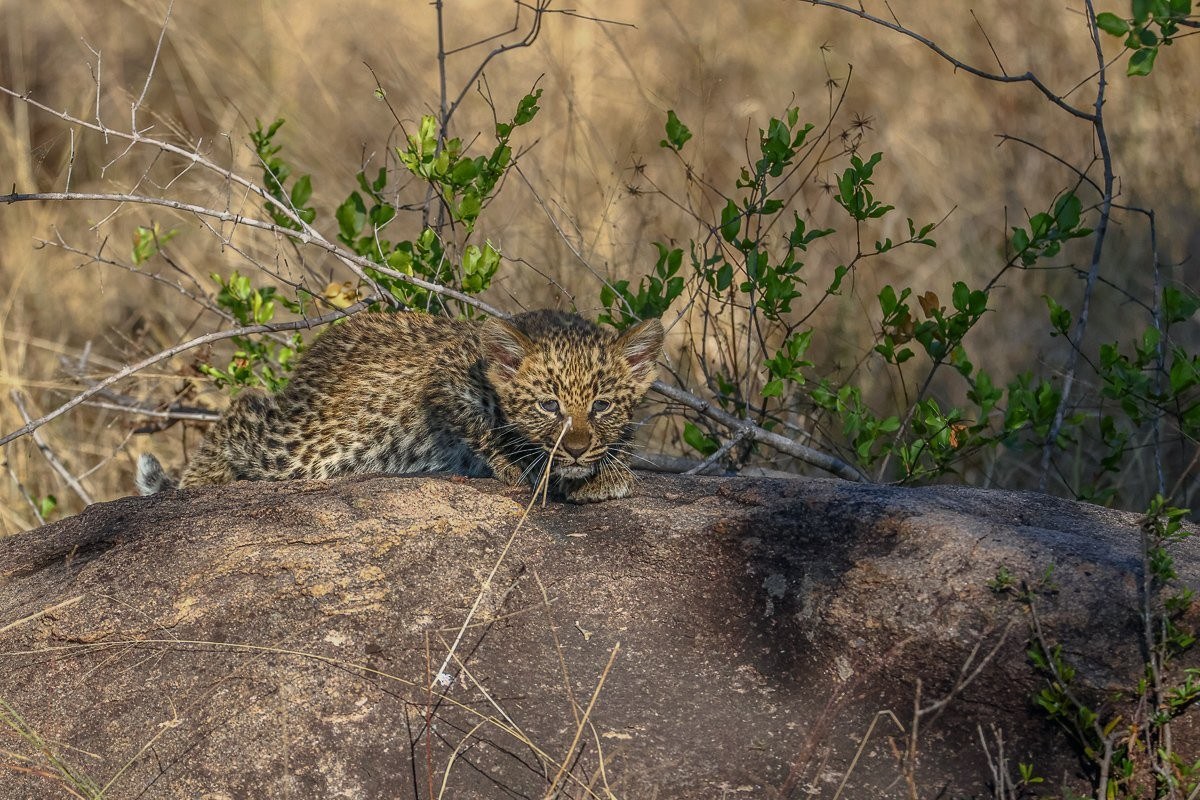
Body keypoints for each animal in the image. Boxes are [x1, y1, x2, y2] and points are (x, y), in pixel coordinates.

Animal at [135, 309, 664, 503]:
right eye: (548, 405)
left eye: (601, 406)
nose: (574, 448)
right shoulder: (445, 373)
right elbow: (482, 426)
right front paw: (525, 467)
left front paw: (608, 470)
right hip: (302, 447)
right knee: (243, 408)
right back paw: (195, 482)